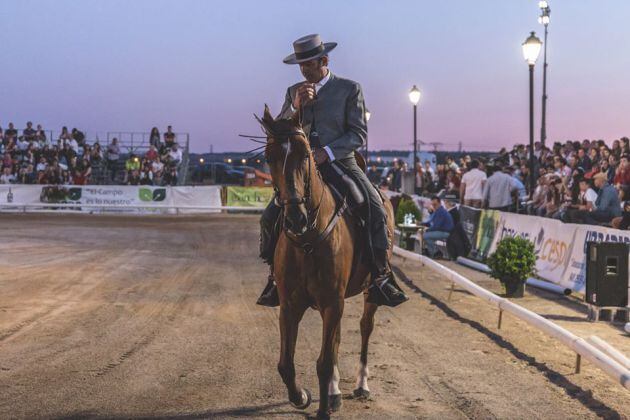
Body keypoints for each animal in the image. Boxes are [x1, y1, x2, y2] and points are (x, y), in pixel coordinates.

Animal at [256, 106, 396, 418]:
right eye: (269, 157)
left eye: (306, 154)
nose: (295, 218)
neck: (308, 239)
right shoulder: (290, 304)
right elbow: (286, 364)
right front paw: (302, 397)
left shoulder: (332, 302)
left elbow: (323, 362)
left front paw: (321, 409)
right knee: (337, 340)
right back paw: (333, 393)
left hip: (367, 292)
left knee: (364, 328)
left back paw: (361, 385)